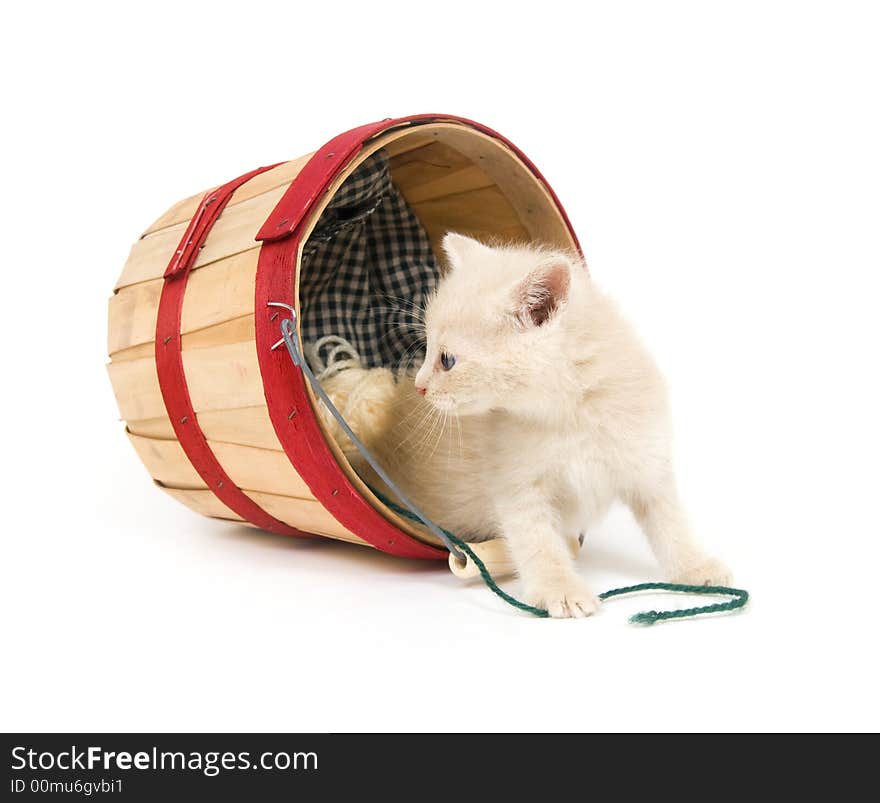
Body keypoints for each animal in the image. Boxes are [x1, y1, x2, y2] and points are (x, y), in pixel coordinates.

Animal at [320, 236, 732, 620]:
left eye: (447, 360)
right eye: (427, 350)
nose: (420, 386)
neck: (571, 413)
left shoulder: (647, 461)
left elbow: (670, 522)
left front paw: (696, 568)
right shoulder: (517, 486)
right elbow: (538, 543)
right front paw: (559, 589)